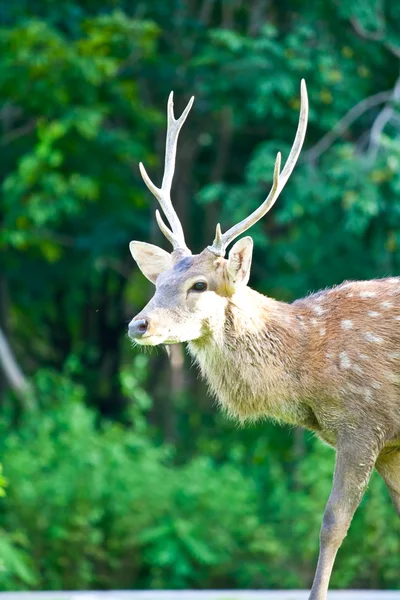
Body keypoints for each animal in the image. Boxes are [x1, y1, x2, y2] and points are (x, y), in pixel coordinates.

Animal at [127, 79, 400, 600]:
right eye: (158, 282)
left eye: (199, 284)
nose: (138, 325)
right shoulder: (390, 443)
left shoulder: (366, 422)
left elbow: (332, 524)